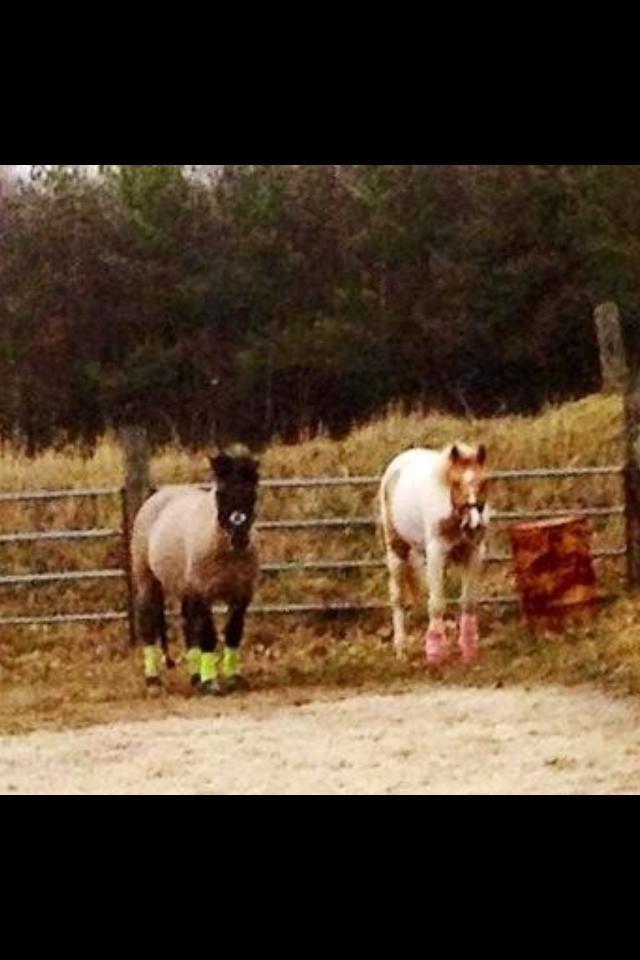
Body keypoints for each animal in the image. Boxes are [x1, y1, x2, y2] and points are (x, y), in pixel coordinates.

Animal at [380, 440, 490, 660]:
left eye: (483, 482)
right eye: (455, 482)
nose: (474, 526)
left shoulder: (474, 553)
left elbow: (468, 601)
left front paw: (468, 649)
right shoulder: (436, 555)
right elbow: (437, 603)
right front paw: (435, 653)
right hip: (397, 550)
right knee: (398, 597)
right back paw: (401, 648)